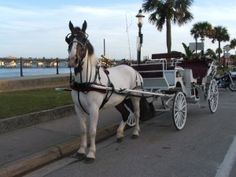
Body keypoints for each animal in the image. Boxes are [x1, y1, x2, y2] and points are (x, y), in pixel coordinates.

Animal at [65, 20, 143, 162]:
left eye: (84, 39)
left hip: (135, 96)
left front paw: (91, 153)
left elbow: (92, 131)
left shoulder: (94, 108)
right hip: (119, 100)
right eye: (68, 39)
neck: (86, 81)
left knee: (137, 113)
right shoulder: (78, 108)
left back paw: (135, 132)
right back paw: (119, 134)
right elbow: (83, 130)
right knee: (125, 114)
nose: (73, 60)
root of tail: (133, 69)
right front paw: (81, 151)